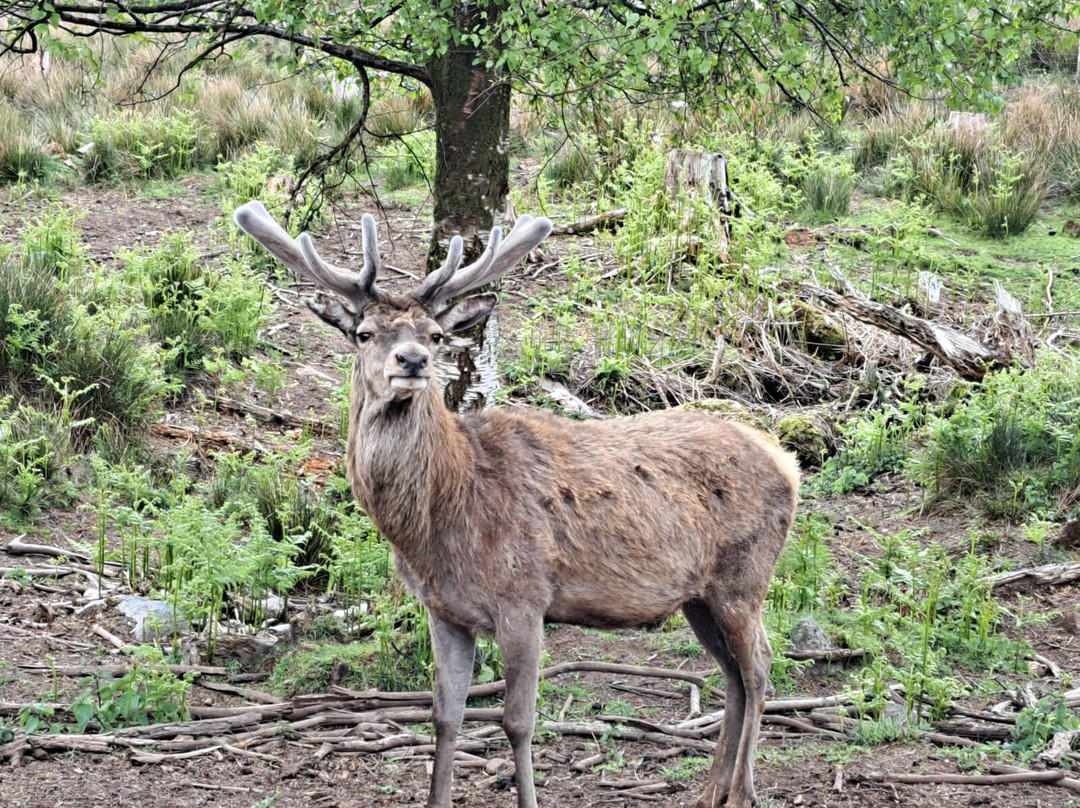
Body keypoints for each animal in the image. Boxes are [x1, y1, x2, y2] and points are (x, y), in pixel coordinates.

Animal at [233, 200, 800, 808]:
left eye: (435, 334)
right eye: (364, 333)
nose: (411, 360)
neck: (439, 517)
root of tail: (787, 462)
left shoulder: (525, 597)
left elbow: (519, 721)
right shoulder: (443, 610)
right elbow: (445, 716)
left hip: (744, 576)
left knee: (760, 667)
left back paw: (742, 791)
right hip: (699, 595)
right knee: (733, 674)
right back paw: (711, 790)